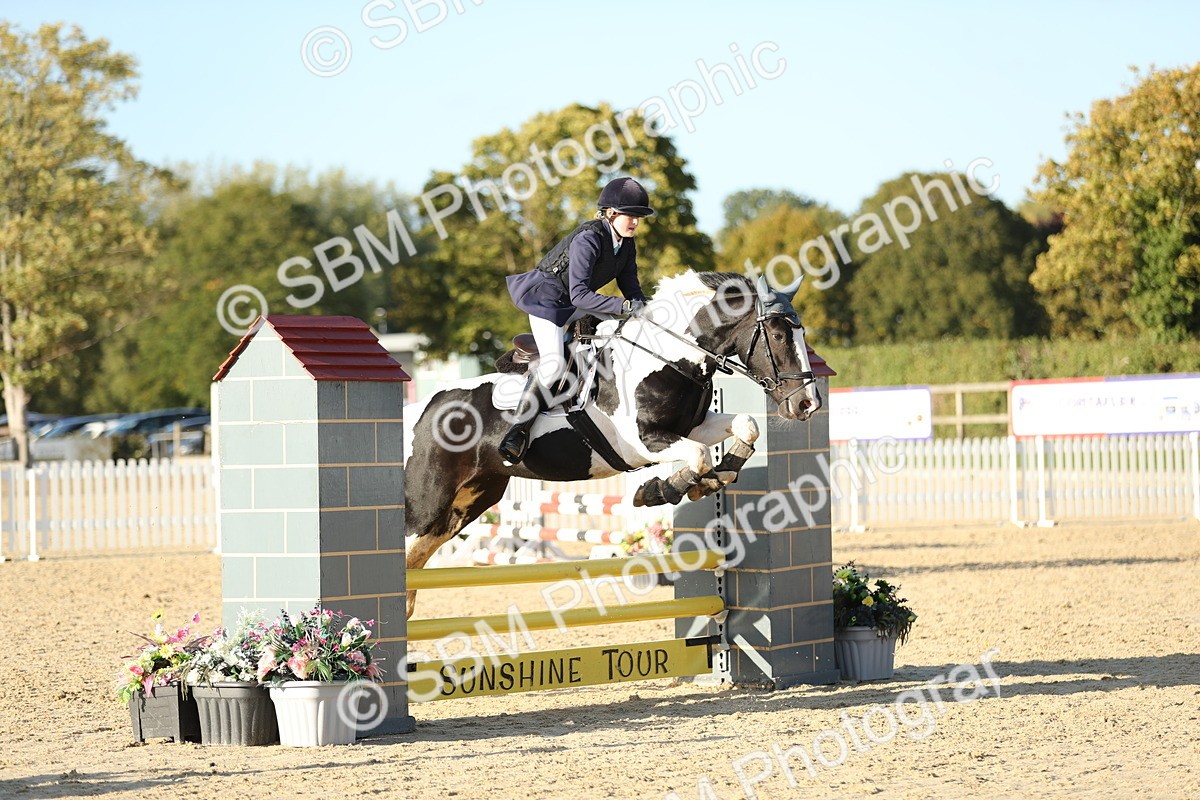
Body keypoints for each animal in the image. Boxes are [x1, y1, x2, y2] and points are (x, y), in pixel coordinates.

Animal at [402, 270, 822, 617]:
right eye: (779, 335)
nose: (808, 404)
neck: (669, 357)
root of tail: (419, 410)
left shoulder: (696, 427)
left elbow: (745, 427)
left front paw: (713, 479)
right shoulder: (642, 442)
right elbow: (698, 455)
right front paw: (662, 489)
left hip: (469, 501)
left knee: (415, 563)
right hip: (427, 505)